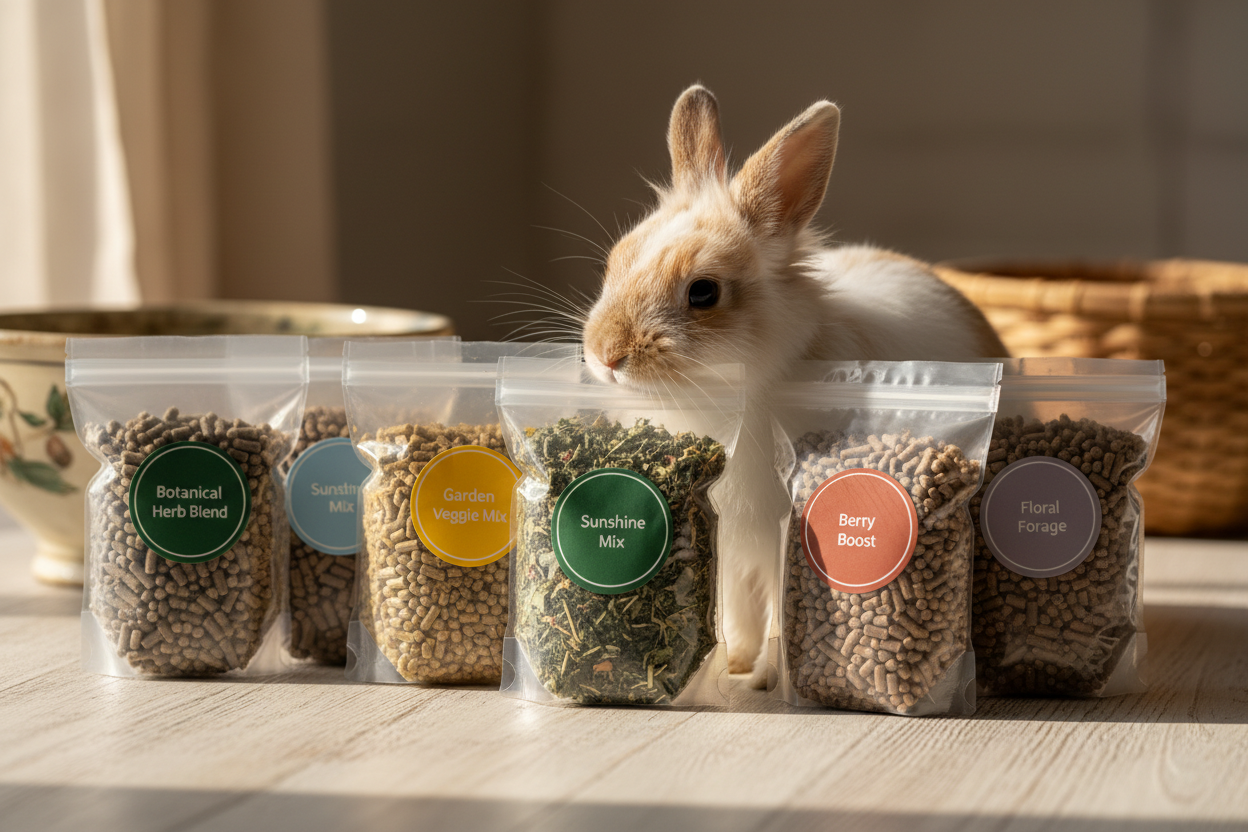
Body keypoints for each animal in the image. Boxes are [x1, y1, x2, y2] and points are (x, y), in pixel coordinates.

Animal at [580, 84, 1007, 688]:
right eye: (615, 261)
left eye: (704, 292)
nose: (605, 354)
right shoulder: (737, 547)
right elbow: (740, 610)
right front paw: (736, 668)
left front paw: (766, 679)